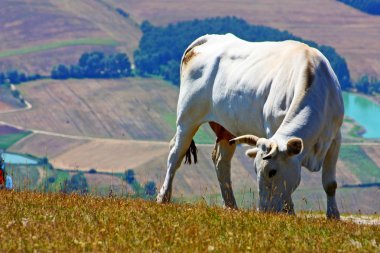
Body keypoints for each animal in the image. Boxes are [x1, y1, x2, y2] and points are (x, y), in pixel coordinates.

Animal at [157, 34, 344, 219]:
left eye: (272, 171)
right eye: (256, 170)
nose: (265, 210)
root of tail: (208, 39)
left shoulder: (335, 138)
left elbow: (330, 183)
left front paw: (333, 216)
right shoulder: (272, 129)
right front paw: (289, 212)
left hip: (226, 128)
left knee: (221, 161)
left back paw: (231, 205)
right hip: (187, 118)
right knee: (175, 154)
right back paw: (163, 197)